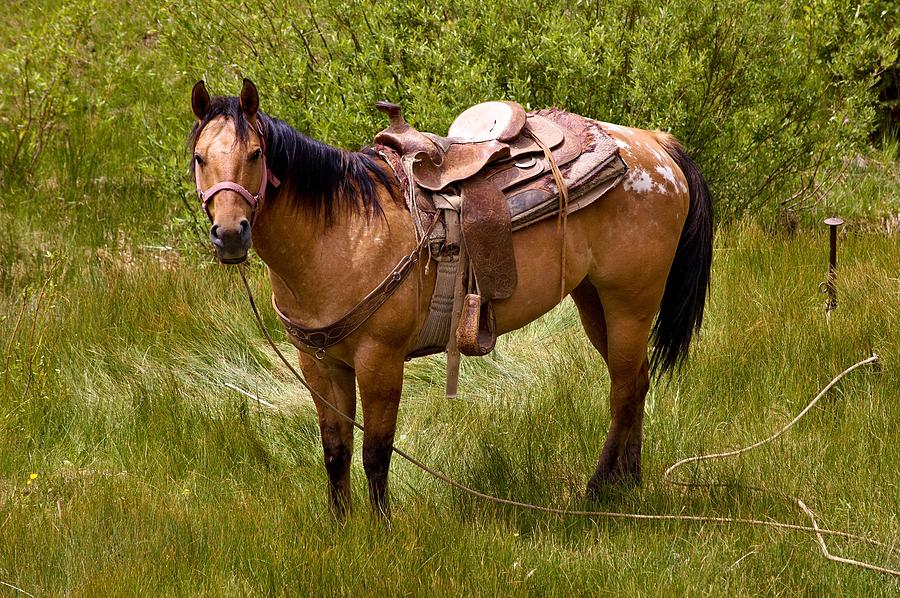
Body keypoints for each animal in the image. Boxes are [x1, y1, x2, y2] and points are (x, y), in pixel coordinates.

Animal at [188, 81, 712, 520]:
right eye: (198, 157)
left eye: (257, 153)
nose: (230, 234)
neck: (343, 231)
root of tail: (653, 144)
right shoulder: (319, 362)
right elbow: (335, 452)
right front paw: (340, 528)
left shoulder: (380, 360)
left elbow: (376, 451)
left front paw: (380, 530)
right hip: (594, 301)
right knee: (636, 382)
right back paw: (629, 483)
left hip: (630, 302)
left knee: (623, 389)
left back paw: (598, 489)